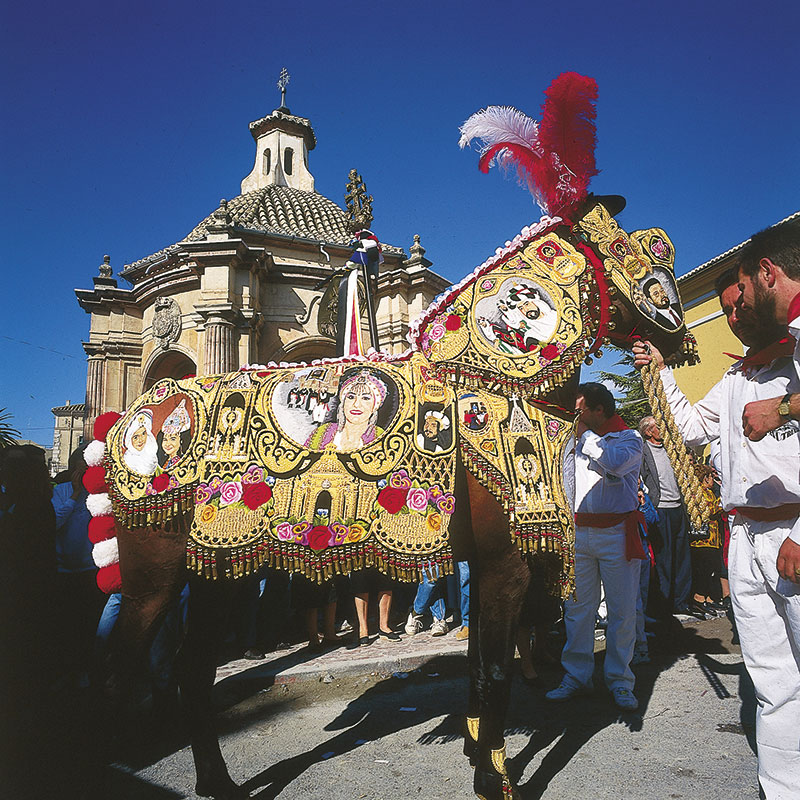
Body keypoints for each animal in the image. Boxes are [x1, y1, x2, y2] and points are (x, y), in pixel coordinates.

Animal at [83, 72, 700, 796]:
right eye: (646, 248)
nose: (678, 339)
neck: (486, 374)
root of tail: (128, 417)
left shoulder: (482, 563)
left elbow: (478, 667)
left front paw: (479, 755)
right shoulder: (506, 564)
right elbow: (493, 670)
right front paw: (497, 778)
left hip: (215, 571)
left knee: (191, 668)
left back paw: (218, 780)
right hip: (154, 579)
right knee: (118, 677)